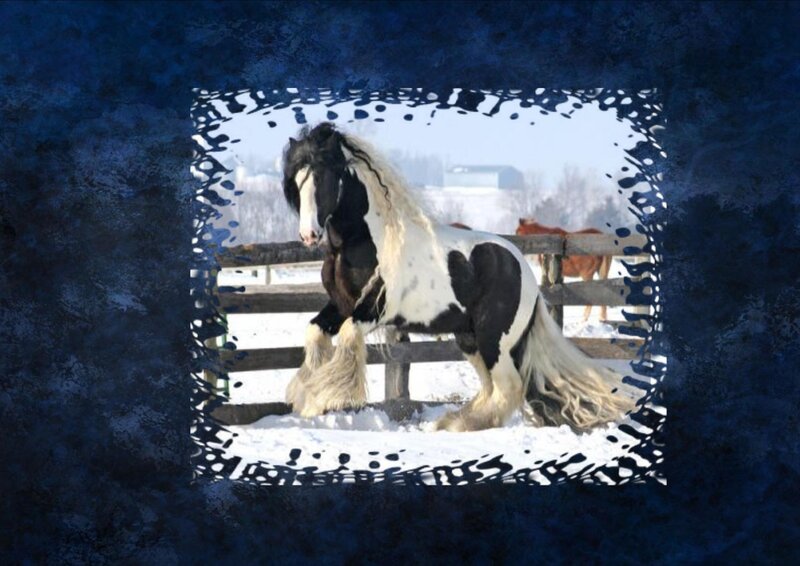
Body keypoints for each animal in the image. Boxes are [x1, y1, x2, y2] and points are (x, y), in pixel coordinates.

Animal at [280, 123, 634, 432]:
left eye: (324, 177)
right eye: (296, 181)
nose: (309, 234)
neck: (365, 241)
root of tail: (527, 277)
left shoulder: (374, 310)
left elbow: (347, 337)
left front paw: (321, 398)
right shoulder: (341, 304)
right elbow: (314, 332)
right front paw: (306, 399)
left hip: (494, 339)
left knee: (508, 387)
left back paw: (459, 425)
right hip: (469, 338)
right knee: (494, 387)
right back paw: (453, 421)